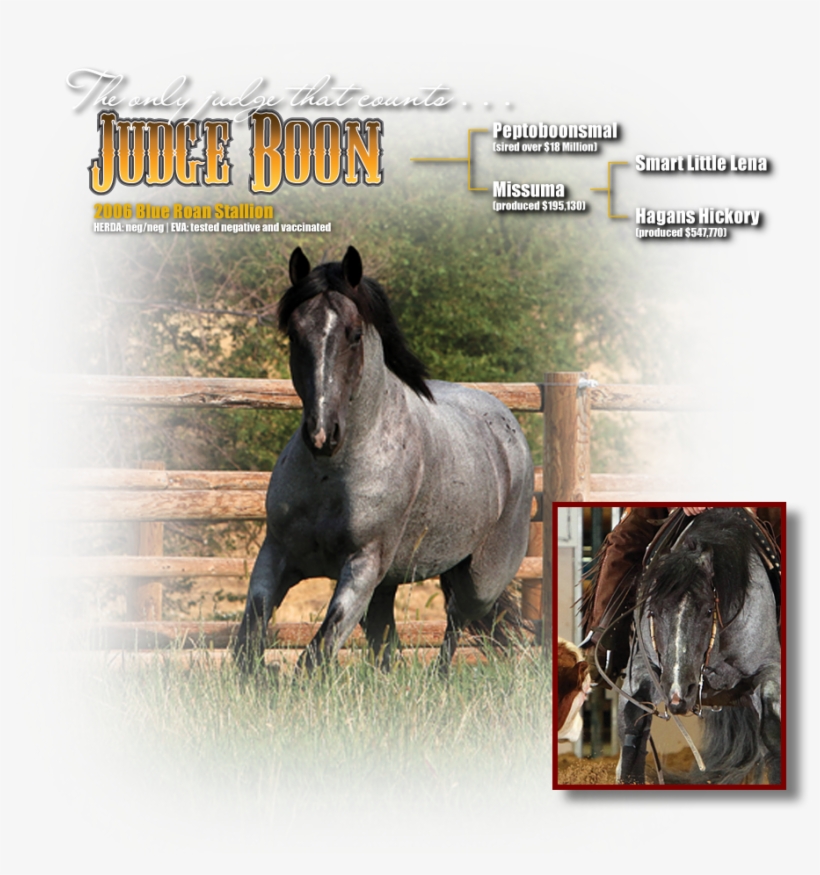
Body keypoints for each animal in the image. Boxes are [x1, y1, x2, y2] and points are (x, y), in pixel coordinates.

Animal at [234, 246, 534, 672]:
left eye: (355, 334)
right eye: (294, 333)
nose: (322, 434)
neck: (331, 475)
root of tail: (506, 426)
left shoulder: (363, 566)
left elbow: (317, 652)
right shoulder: (276, 553)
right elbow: (249, 642)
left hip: (480, 580)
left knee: (457, 622)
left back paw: (440, 678)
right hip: (391, 583)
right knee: (387, 639)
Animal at [616, 508, 782, 785]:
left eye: (707, 611)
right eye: (654, 611)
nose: (678, 693)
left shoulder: (771, 669)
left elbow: (772, 731)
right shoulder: (642, 668)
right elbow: (634, 722)